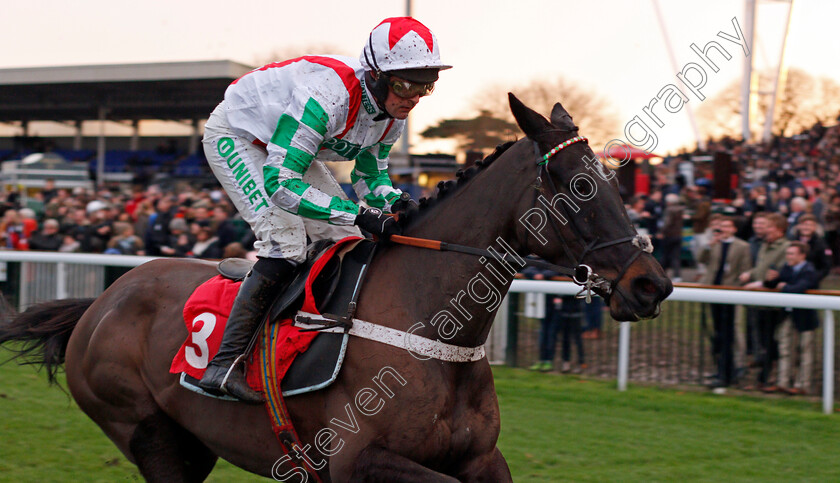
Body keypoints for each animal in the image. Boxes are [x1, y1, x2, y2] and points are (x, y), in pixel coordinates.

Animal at [0, 95, 668, 483]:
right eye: (576, 184)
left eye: (616, 179)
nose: (652, 283)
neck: (431, 332)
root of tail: (102, 301)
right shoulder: (356, 461)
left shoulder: (482, 459)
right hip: (153, 437)